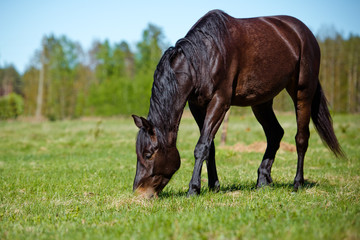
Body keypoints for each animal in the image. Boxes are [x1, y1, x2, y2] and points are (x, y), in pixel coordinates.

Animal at [131, 9, 344, 199]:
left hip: (302, 92)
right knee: (275, 133)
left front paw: (193, 189)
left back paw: (297, 183)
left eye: (148, 154)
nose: (139, 193)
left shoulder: (220, 102)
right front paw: (213, 186)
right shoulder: (197, 106)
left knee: (301, 138)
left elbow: (201, 146)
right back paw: (263, 180)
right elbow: (210, 146)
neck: (203, 57)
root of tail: (305, 33)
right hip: (262, 101)